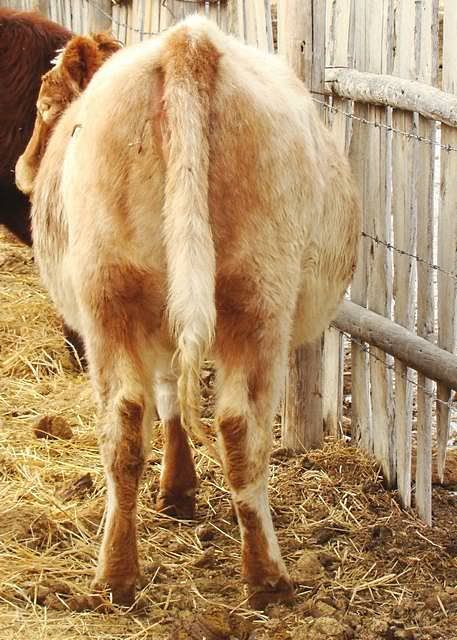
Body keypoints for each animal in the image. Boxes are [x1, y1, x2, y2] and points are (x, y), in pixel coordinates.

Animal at [16, 17, 360, 609]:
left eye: (44, 105)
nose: (23, 171)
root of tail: (189, 43)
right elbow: (172, 394)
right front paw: (178, 491)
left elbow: (167, 395)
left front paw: (177, 490)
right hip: (252, 296)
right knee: (227, 425)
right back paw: (255, 575)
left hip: (114, 296)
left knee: (132, 423)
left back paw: (125, 575)